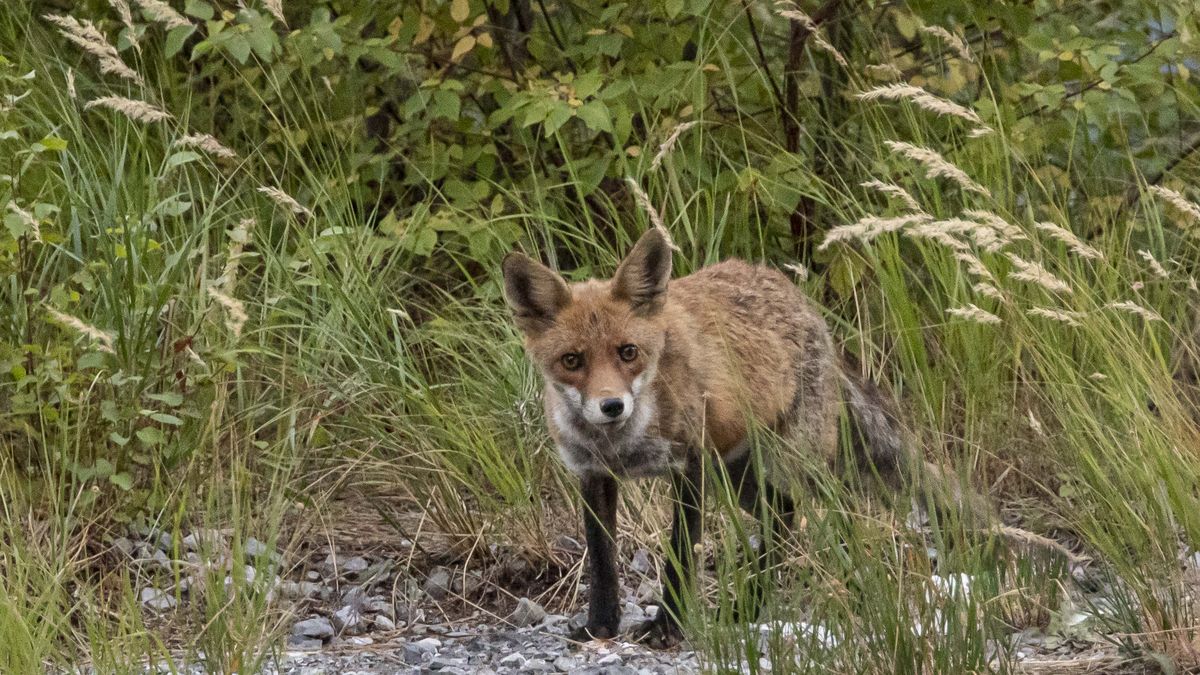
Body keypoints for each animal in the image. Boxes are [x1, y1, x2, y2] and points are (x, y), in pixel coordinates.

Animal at [501, 228, 979, 647]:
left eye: (627, 352)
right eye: (572, 360)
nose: (612, 406)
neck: (623, 446)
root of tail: (804, 304)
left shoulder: (688, 467)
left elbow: (681, 556)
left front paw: (667, 628)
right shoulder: (593, 474)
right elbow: (601, 561)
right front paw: (600, 626)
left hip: (796, 466)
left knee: (834, 517)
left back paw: (849, 594)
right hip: (739, 477)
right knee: (782, 518)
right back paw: (747, 607)